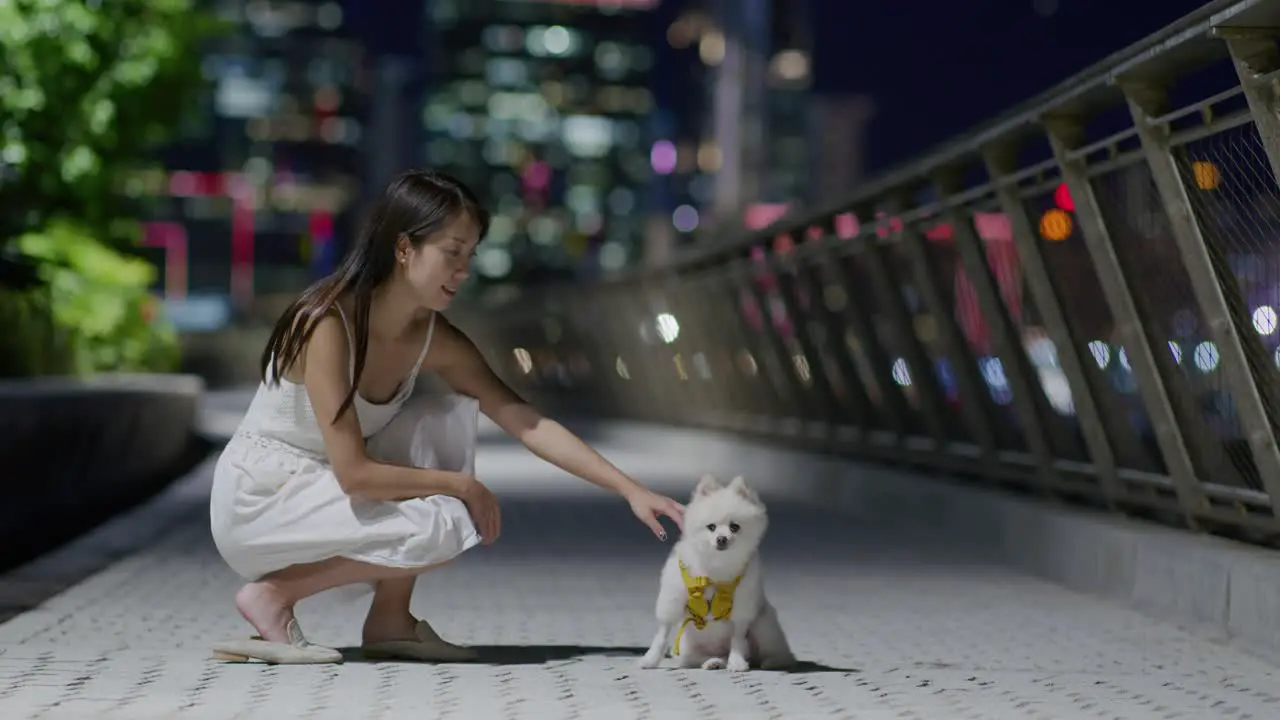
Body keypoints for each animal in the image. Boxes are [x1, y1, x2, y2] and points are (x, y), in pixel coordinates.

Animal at [637, 474, 788, 671]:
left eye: (734, 527)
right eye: (711, 527)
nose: (721, 539)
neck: (716, 565)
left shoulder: (743, 606)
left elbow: (737, 638)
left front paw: (737, 662)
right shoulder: (672, 598)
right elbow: (662, 633)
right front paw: (650, 659)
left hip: (763, 624)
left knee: (779, 653)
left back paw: (771, 661)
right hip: (687, 647)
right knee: (699, 658)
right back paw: (714, 661)